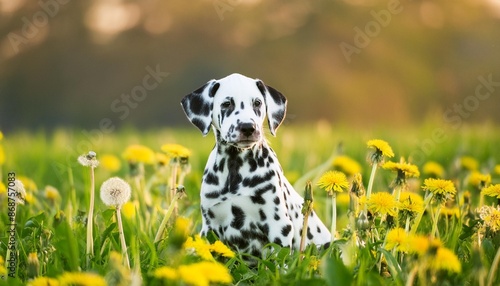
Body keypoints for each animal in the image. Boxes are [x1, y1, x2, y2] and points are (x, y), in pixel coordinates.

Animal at [182, 73, 330, 256]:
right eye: (227, 104)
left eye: (257, 103)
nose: (248, 127)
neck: (234, 166)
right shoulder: (210, 227)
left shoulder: (278, 225)